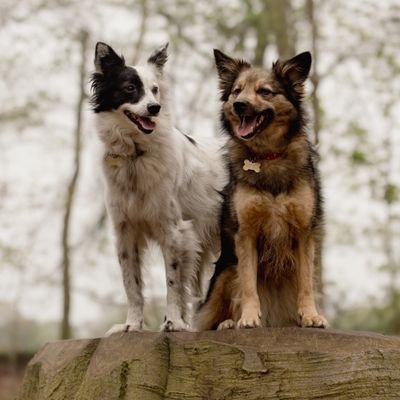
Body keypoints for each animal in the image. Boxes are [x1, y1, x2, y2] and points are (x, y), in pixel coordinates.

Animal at [91, 42, 228, 332]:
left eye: (155, 89)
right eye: (130, 87)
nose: (154, 107)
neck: (136, 154)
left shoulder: (174, 231)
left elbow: (173, 284)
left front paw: (173, 321)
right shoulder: (126, 233)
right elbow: (131, 285)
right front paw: (132, 325)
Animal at [195, 50, 328, 330]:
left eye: (265, 91)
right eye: (237, 91)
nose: (239, 105)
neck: (268, 156)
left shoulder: (303, 232)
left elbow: (306, 284)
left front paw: (310, 315)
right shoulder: (246, 233)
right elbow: (247, 284)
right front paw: (247, 317)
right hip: (224, 272)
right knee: (209, 317)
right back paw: (228, 322)